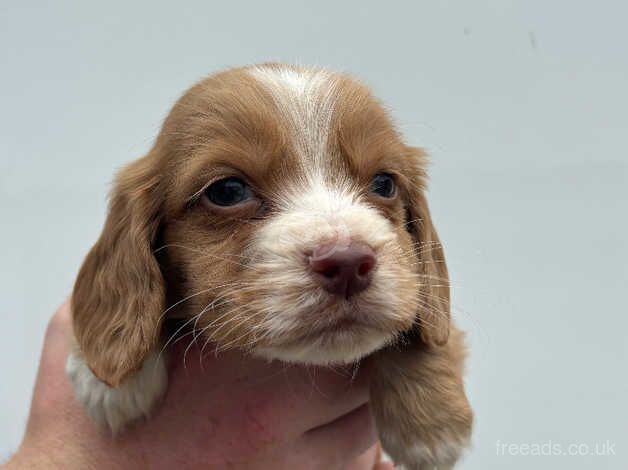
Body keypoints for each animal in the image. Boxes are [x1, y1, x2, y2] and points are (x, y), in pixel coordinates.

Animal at [66, 64, 474, 468]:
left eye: (384, 184)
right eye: (227, 191)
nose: (347, 262)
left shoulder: (418, 288)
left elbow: (427, 323)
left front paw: (433, 426)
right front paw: (103, 378)